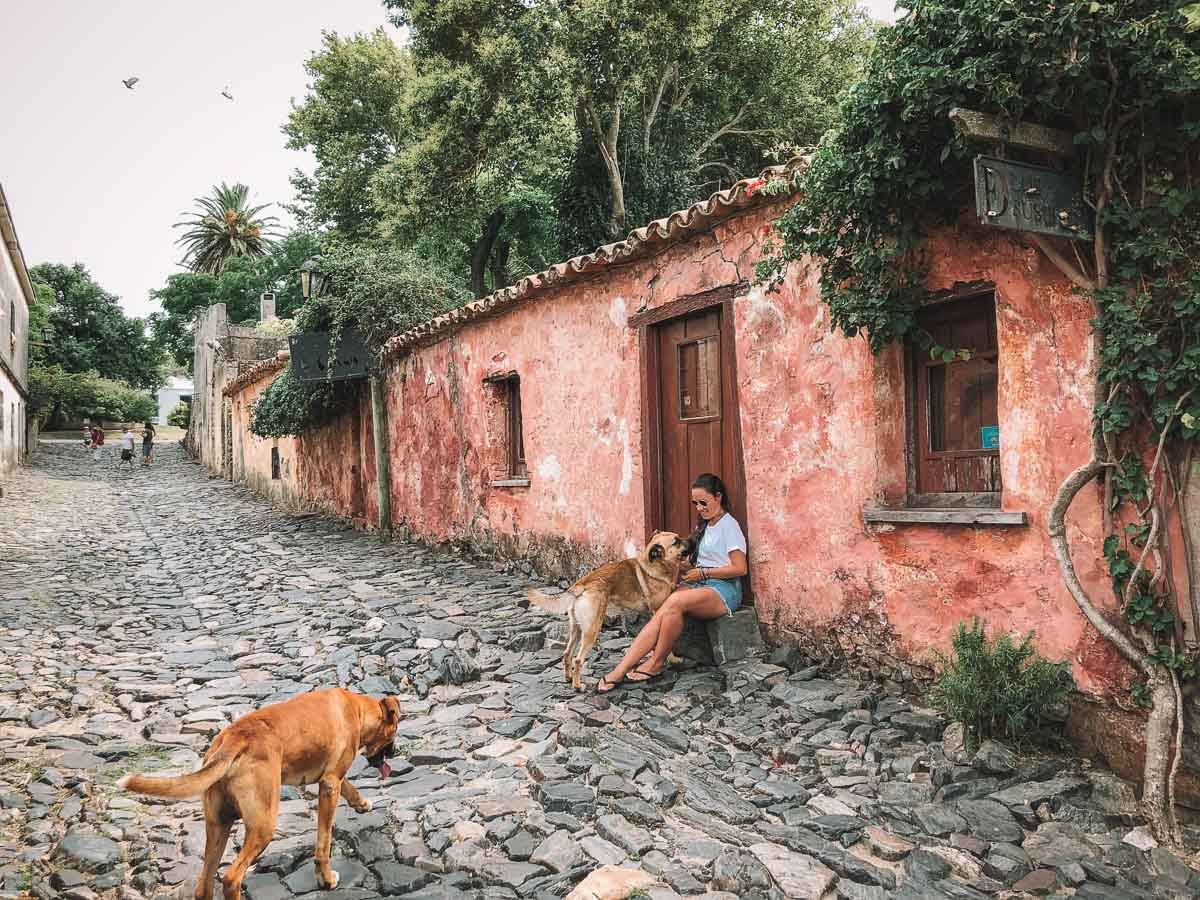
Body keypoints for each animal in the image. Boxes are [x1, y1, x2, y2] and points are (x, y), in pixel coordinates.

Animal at [117, 691, 400, 900]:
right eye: (394, 730)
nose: (395, 753)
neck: (357, 709)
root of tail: (234, 737)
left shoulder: (328, 778)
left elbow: (349, 786)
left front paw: (361, 803)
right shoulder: (330, 785)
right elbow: (324, 842)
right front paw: (326, 879)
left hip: (218, 826)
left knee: (204, 886)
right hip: (263, 827)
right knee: (231, 878)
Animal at [532, 532, 700, 696]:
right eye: (676, 541)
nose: (694, 538)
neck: (657, 565)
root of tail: (580, 585)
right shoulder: (659, 611)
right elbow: (665, 643)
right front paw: (671, 658)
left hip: (577, 628)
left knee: (567, 653)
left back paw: (568, 678)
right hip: (592, 629)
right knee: (578, 660)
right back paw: (578, 687)